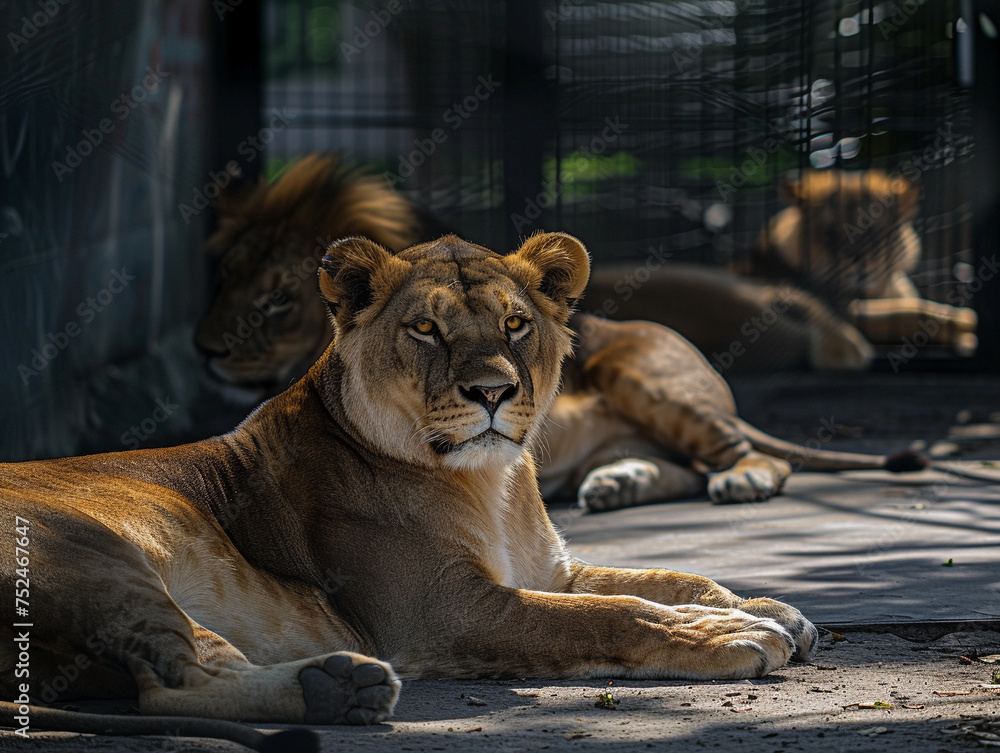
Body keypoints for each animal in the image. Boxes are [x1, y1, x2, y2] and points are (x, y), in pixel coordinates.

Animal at [0, 233, 817, 750]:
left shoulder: (547, 569)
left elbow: (671, 577)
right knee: (167, 684)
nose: (493, 391)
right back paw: (338, 688)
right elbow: (608, 613)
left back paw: (338, 688)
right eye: (427, 329)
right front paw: (731, 634)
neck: (494, 483)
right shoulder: (442, 609)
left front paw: (765, 606)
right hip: (102, 552)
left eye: (515, 324)